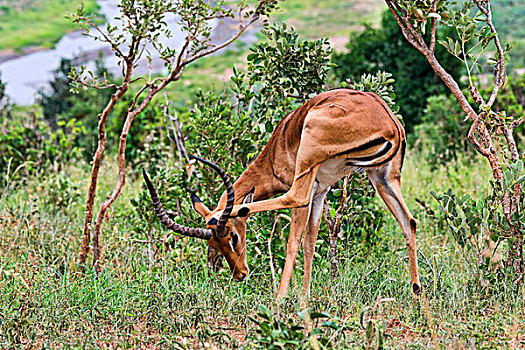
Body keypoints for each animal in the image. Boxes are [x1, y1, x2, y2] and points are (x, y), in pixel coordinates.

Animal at [144, 87, 422, 298]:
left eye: (233, 237)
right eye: (212, 243)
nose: (240, 274)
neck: (277, 147)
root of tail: (391, 122)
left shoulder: (309, 190)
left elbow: (293, 243)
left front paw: (284, 298)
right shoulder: (320, 192)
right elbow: (310, 243)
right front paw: (305, 297)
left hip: (311, 165)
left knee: (290, 198)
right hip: (383, 178)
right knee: (409, 221)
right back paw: (416, 292)